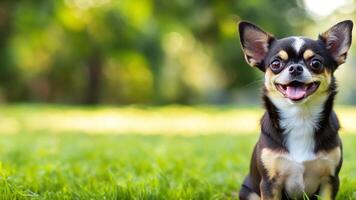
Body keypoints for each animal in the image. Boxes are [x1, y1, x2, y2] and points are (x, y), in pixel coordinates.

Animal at [238, 19, 352, 198]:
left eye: (316, 63)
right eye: (276, 63)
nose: (295, 68)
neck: (300, 116)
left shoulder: (330, 180)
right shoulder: (270, 184)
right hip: (249, 192)